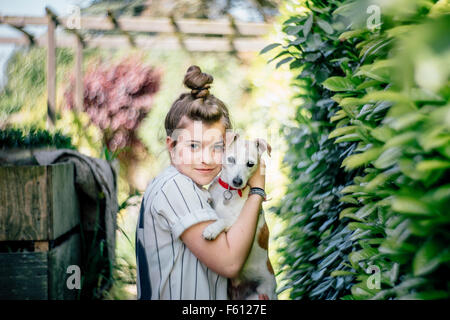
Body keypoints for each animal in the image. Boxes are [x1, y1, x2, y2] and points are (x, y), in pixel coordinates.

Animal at [202, 132, 276, 300]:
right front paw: (204, 193)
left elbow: (223, 219)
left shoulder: (237, 223)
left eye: (250, 164)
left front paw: (212, 229)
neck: (230, 192)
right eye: (231, 160)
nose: (237, 181)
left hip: (262, 292)